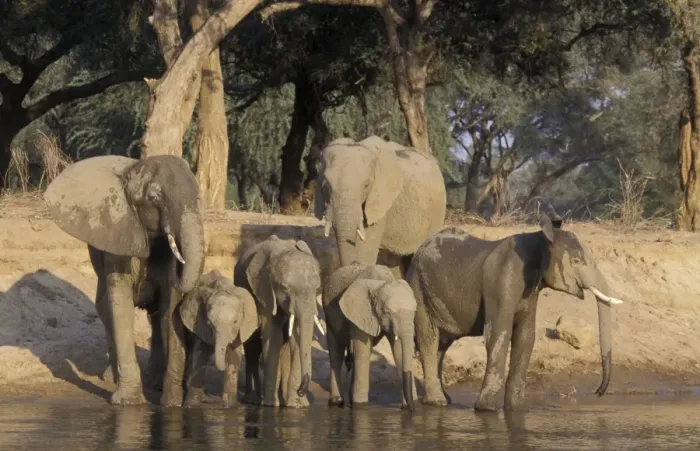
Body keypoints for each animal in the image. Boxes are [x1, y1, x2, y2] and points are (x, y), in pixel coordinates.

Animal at [44, 155, 205, 406]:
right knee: (106, 310)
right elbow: (120, 302)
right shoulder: (118, 232)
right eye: (154, 198)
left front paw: (172, 405)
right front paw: (128, 402)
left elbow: (170, 305)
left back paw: (154, 382)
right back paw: (110, 377)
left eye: (198, 197)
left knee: (156, 318)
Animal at [178, 270, 259, 407]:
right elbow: (201, 354)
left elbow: (233, 355)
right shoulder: (200, 323)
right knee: (190, 350)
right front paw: (191, 406)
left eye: (235, 322)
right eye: (210, 323)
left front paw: (231, 407)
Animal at [233, 235, 325, 408]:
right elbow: (272, 335)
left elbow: (295, 336)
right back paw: (253, 400)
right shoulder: (264, 291)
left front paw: (297, 406)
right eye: (284, 288)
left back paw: (283, 401)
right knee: (253, 348)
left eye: (317, 290)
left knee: (285, 348)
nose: (302, 390)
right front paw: (270, 405)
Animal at [323, 262, 417, 410]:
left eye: (415, 310)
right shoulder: (359, 312)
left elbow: (398, 351)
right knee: (336, 353)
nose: (409, 407)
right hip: (328, 313)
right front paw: (360, 406)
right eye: (387, 312)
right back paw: (336, 402)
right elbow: (363, 351)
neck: (381, 283)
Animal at [405, 215, 625, 411]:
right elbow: (499, 333)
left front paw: (515, 409)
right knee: (428, 339)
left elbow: (526, 337)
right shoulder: (503, 281)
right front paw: (487, 409)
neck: (539, 238)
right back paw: (437, 402)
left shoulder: (530, 291)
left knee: (442, 344)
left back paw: (444, 400)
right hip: (418, 288)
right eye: (577, 261)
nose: (598, 392)